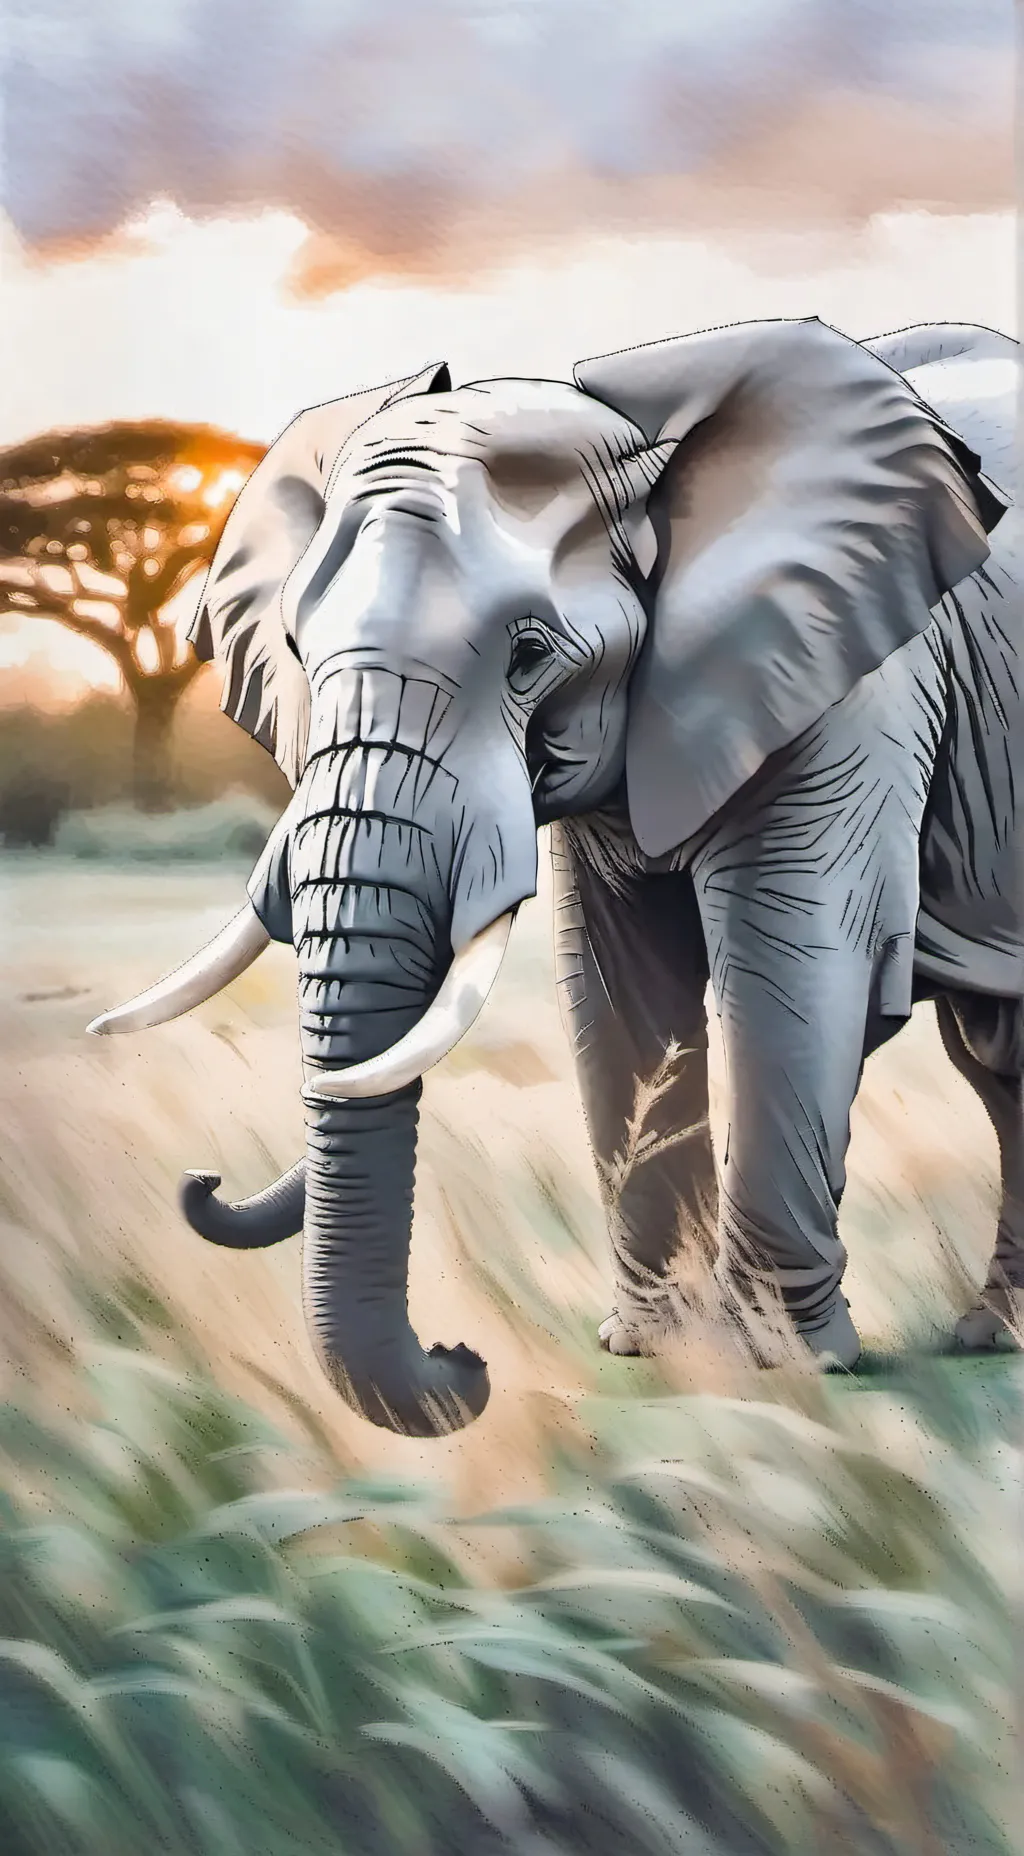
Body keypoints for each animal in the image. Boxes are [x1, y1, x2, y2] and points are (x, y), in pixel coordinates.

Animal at [89, 316, 1023, 1438]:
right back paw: (994, 1335)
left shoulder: (855, 675)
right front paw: (658, 1347)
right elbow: (619, 990)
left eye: (530, 655)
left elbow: (791, 969)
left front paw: (793, 1365)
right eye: (298, 650)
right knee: (997, 1061)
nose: (462, 1358)